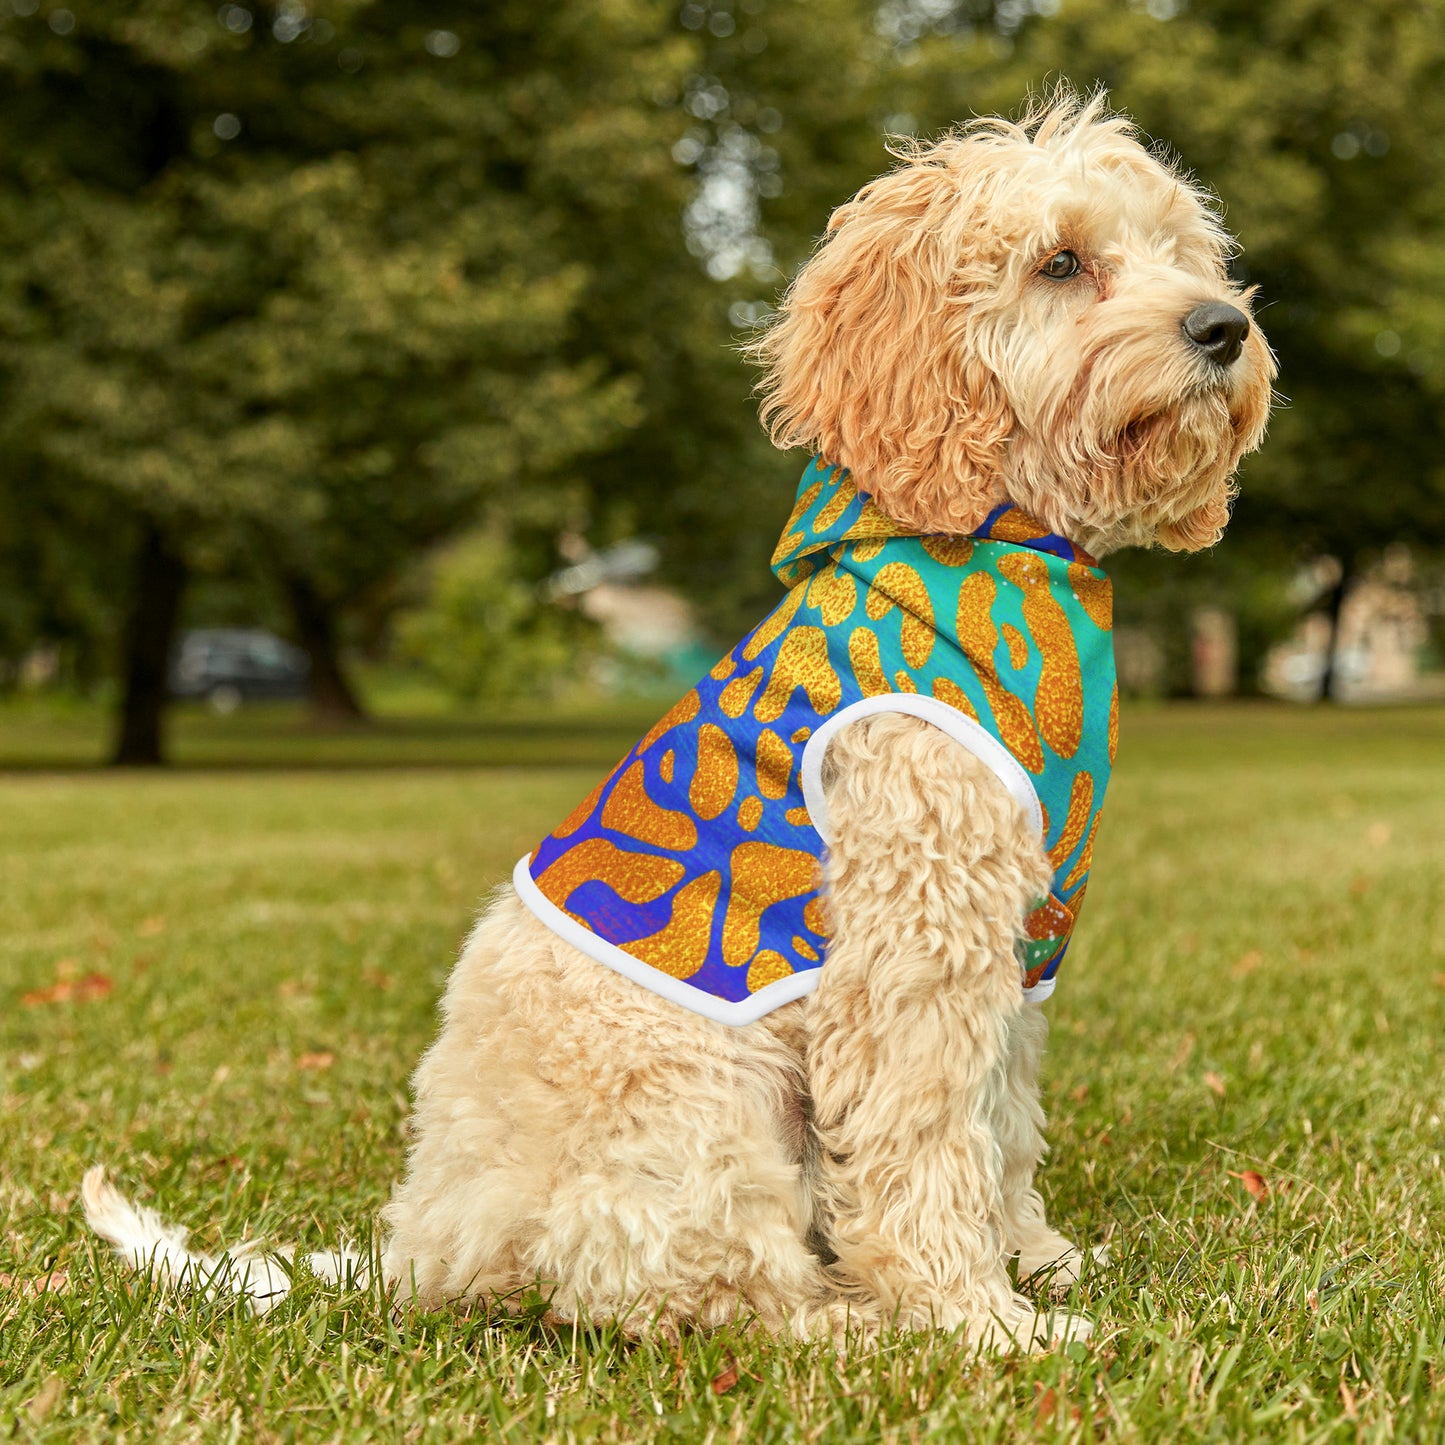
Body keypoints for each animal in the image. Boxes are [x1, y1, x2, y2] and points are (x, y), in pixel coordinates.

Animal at [84, 93, 1271, 1352]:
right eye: (1060, 262)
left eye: (1181, 253)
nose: (1222, 327)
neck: (1000, 552)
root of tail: (423, 1246)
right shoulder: (912, 941)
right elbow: (923, 1141)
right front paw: (976, 1318)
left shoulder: (1015, 945)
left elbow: (999, 1124)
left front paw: (1034, 1259)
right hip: (702, 1102)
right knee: (699, 1290)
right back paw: (851, 1322)